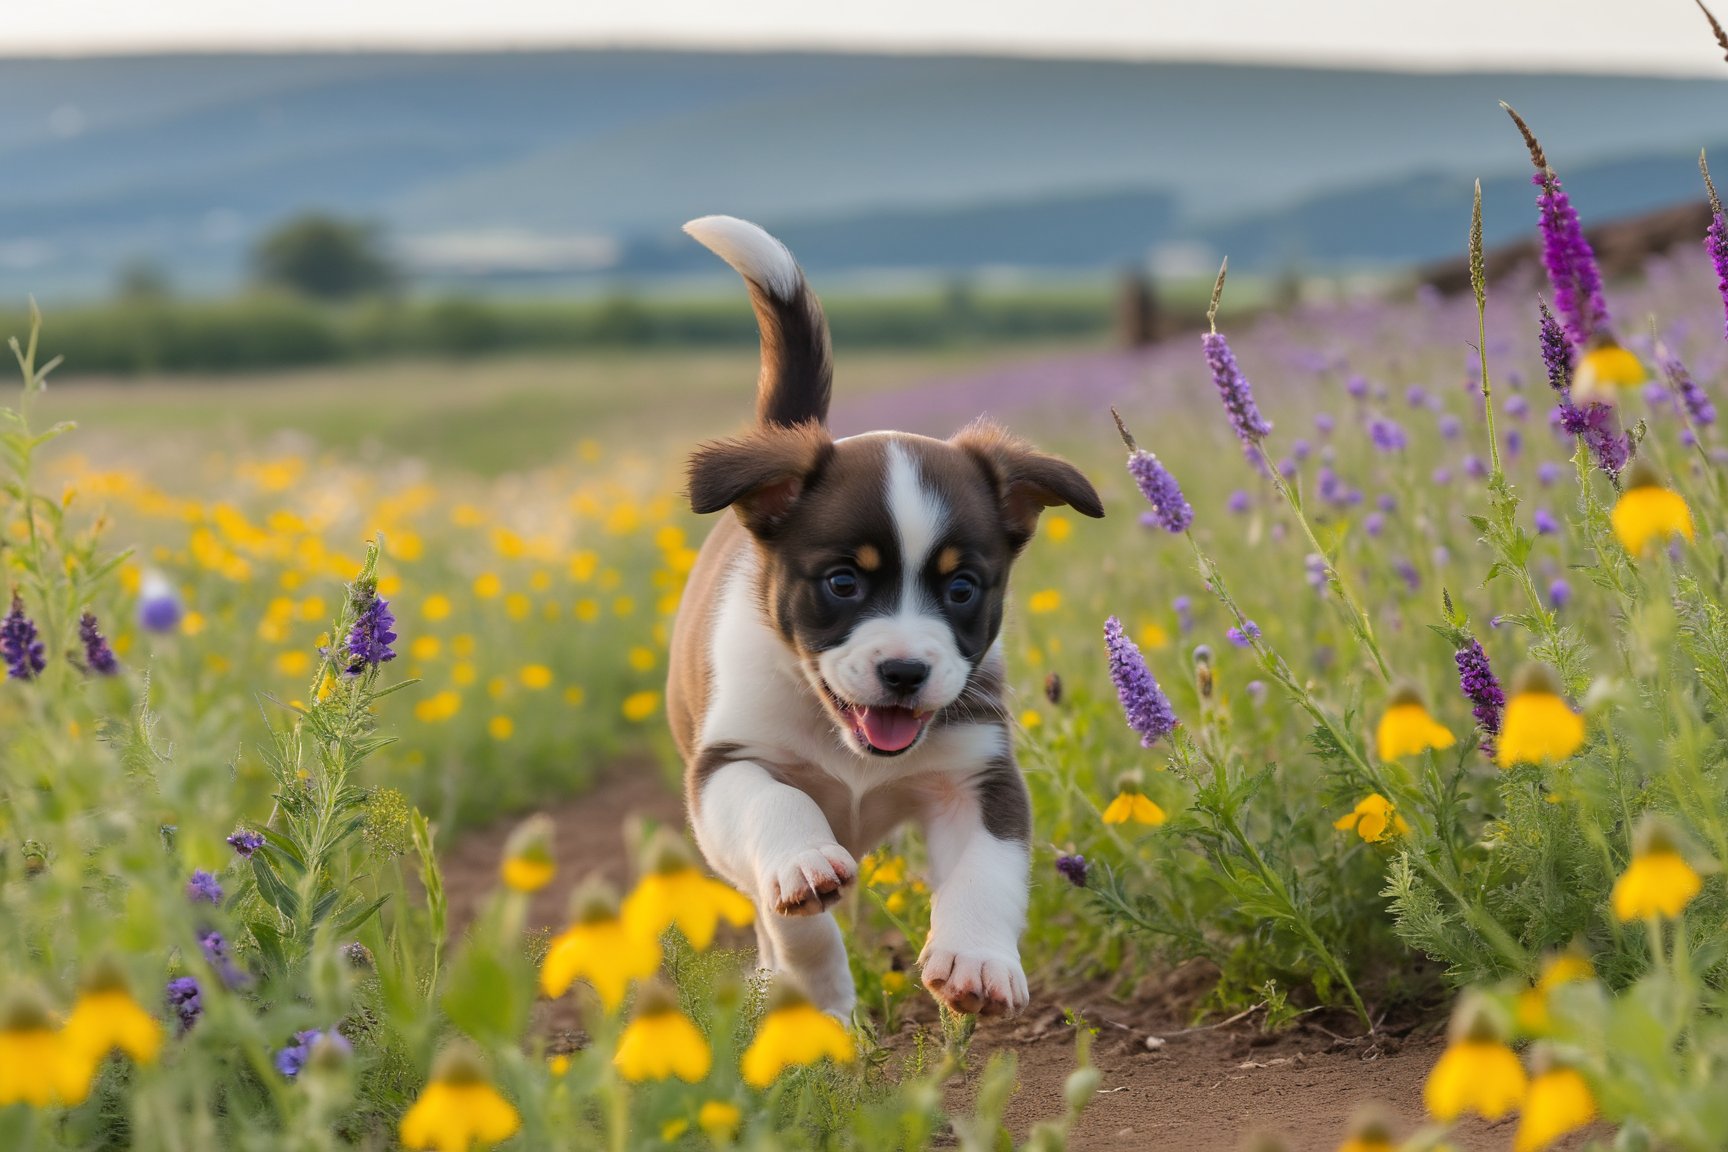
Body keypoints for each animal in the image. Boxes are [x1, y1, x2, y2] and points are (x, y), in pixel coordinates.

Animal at [667, 218, 1099, 1015]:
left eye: (961, 589)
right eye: (843, 582)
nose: (904, 671)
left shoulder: (980, 774)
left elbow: (988, 872)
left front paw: (977, 960)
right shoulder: (723, 767)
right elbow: (778, 825)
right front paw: (807, 894)